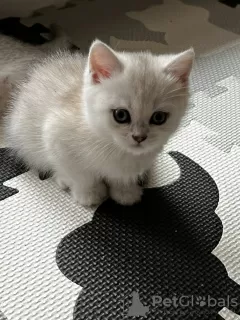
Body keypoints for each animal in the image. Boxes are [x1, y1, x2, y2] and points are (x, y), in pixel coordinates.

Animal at [3, 40, 195, 206]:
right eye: (121, 115)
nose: (139, 137)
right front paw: (89, 194)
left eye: (159, 118)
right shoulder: (55, 137)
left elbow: (122, 177)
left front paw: (125, 192)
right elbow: (81, 175)